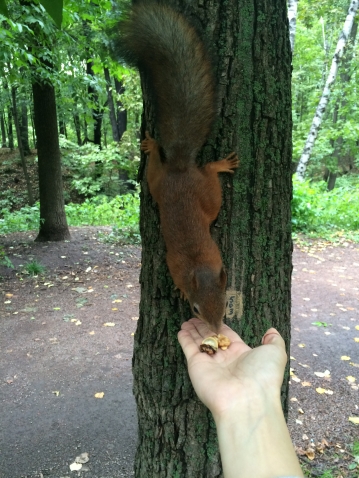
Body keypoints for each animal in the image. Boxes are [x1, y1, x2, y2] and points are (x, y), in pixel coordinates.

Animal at [116, 3, 239, 332]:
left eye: (224, 302)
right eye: (195, 308)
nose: (216, 329)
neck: (199, 264)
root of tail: (181, 169)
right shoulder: (177, 265)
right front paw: (179, 289)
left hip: (180, 188)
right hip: (185, 190)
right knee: (201, 171)